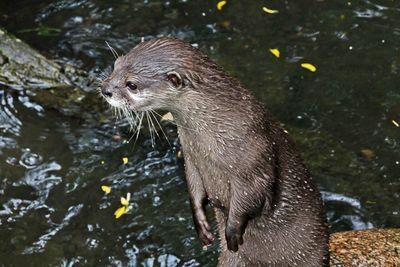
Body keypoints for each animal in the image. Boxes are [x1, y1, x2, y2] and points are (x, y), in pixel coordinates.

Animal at [101, 37, 330, 267]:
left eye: (132, 85)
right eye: (116, 65)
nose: (105, 89)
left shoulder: (252, 157)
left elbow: (252, 194)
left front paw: (232, 231)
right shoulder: (191, 158)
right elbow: (193, 186)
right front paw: (201, 224)